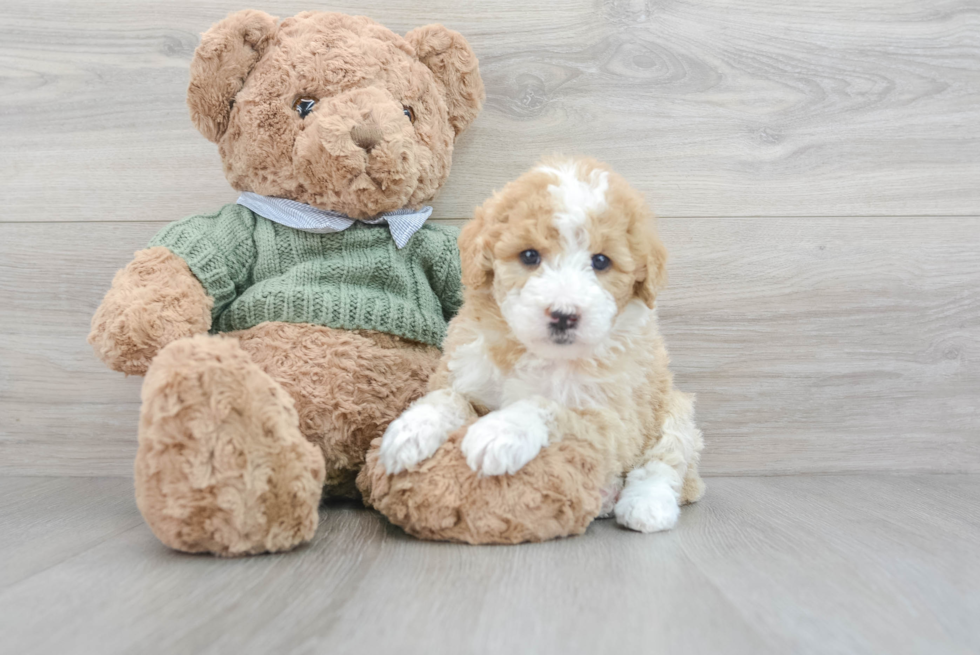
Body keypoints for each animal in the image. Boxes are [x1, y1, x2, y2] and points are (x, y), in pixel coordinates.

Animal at [376, 158, 704, 532]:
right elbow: (448, 396)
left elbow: (548, 406)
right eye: (530, 256)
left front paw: (501, 431)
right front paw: (411, 429)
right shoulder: (468, 372)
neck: (534, 352)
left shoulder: (615, 422)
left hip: (673, 407)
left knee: (666, 460)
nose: (563, 315)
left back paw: (646, 505)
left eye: (601, 261)